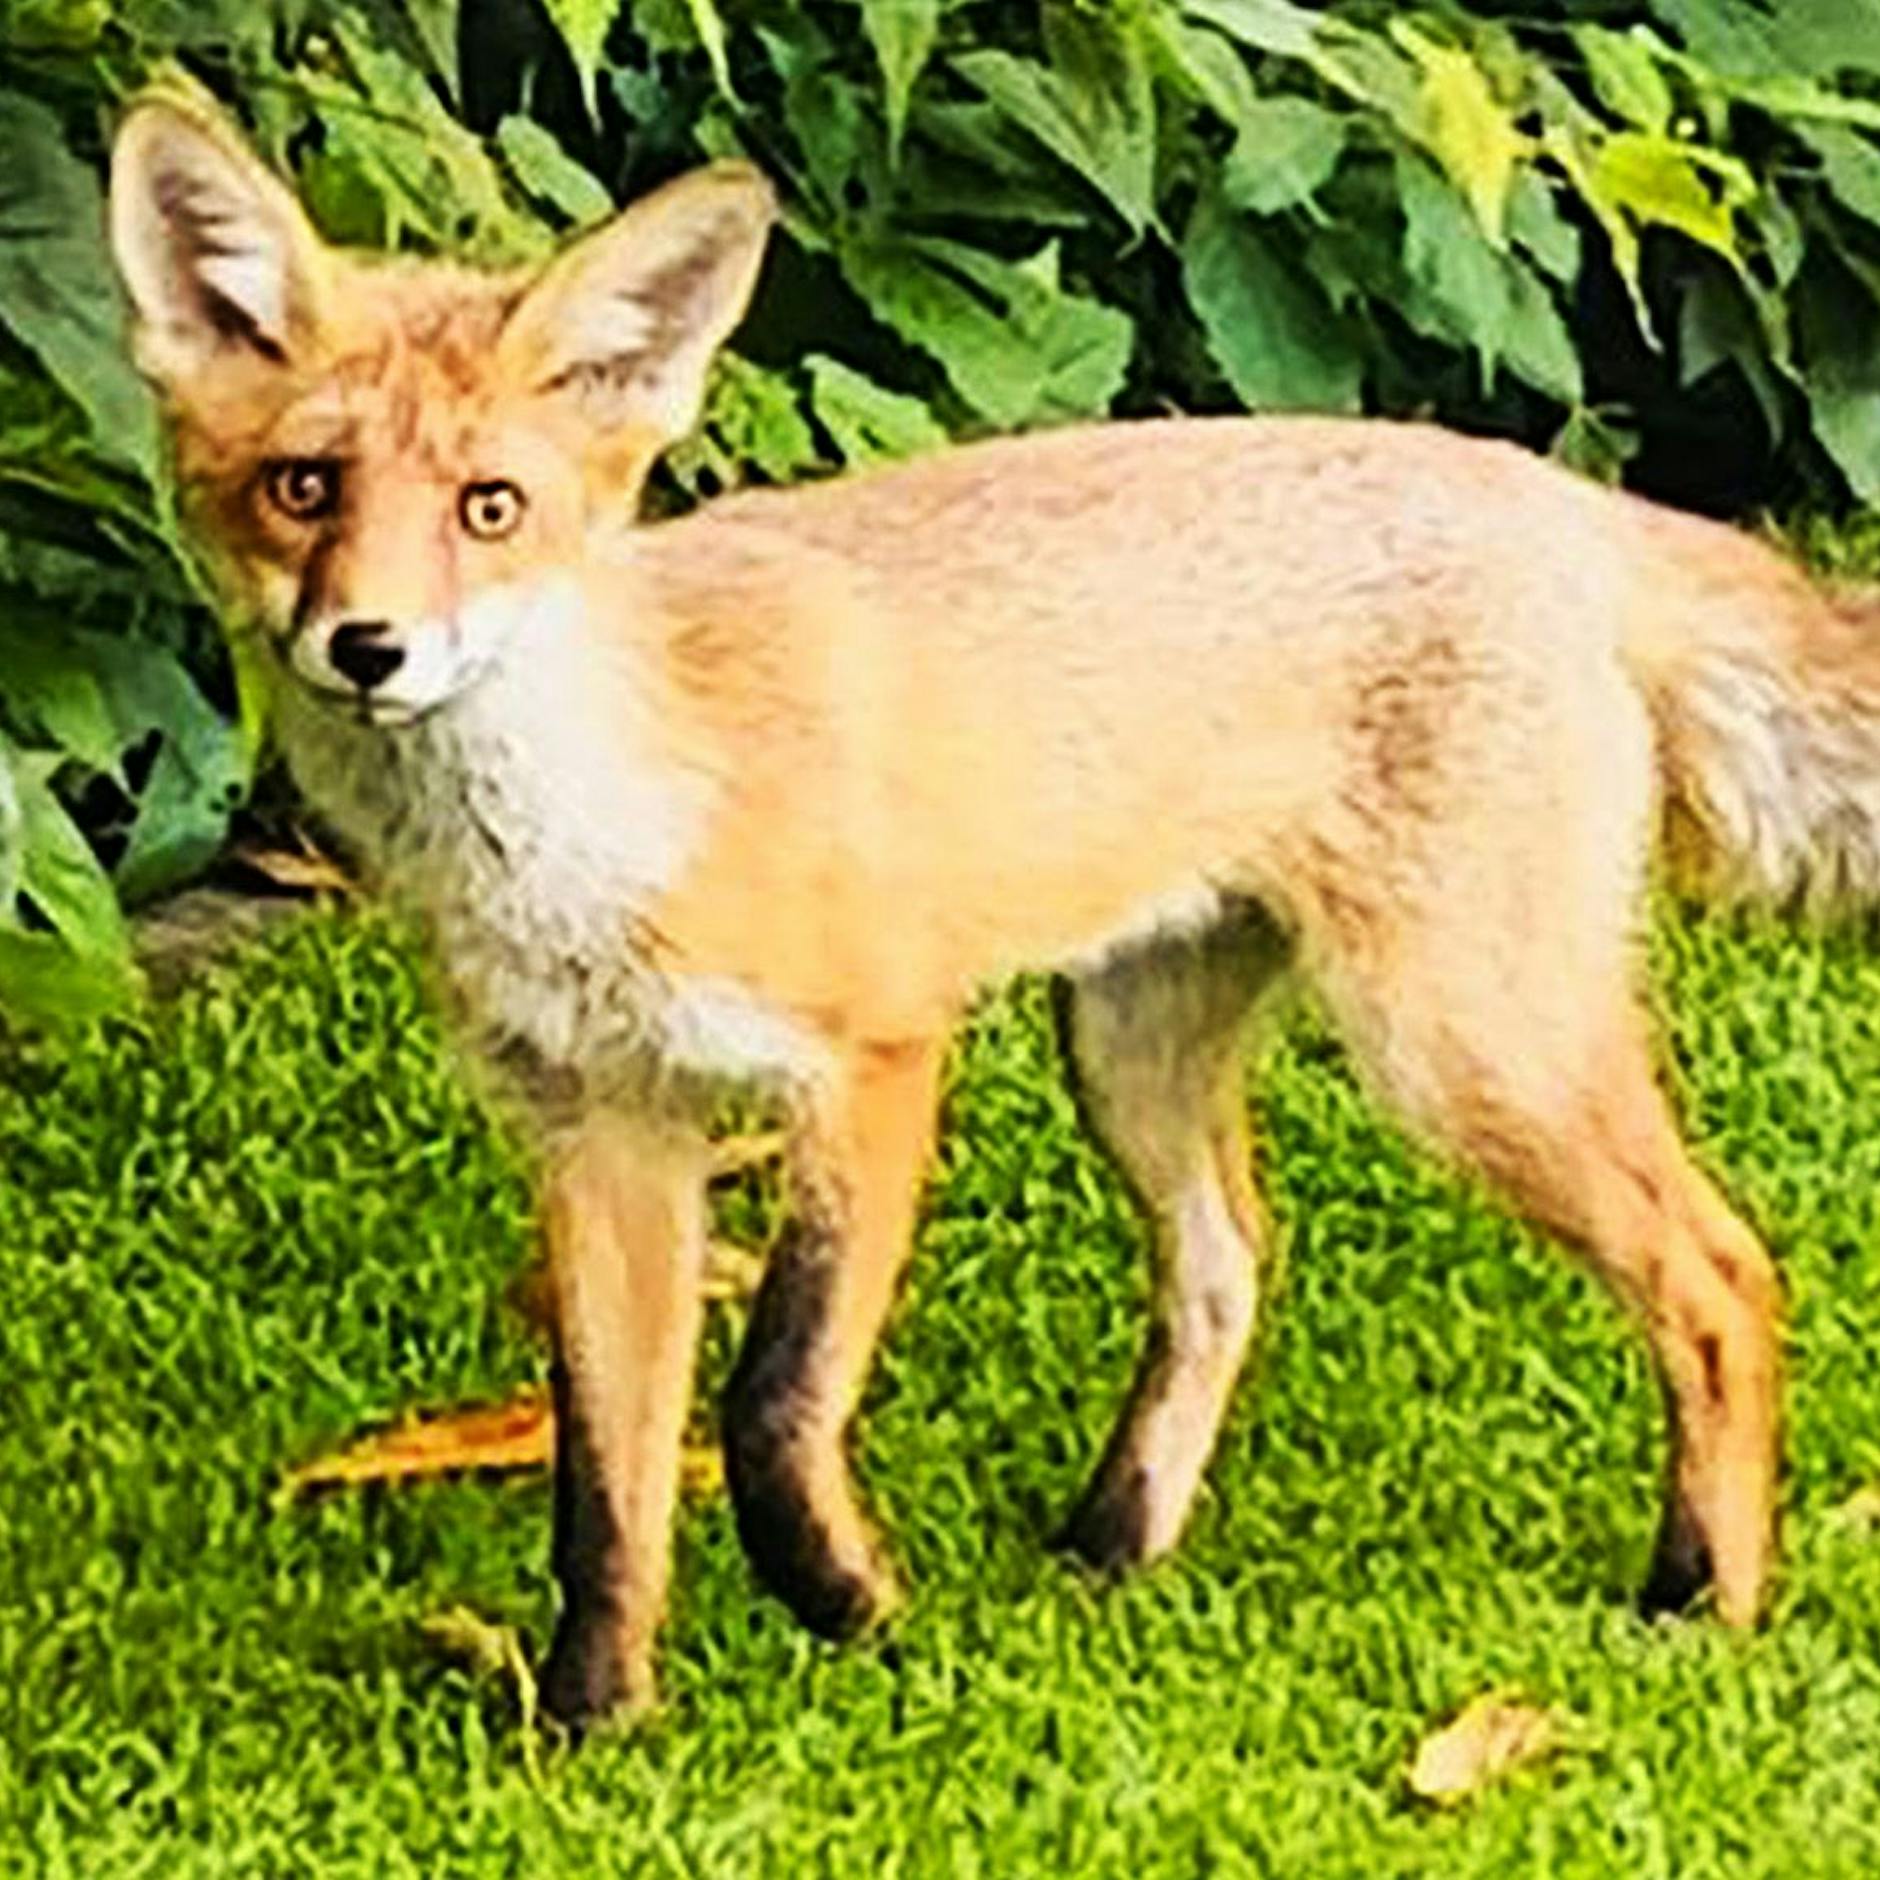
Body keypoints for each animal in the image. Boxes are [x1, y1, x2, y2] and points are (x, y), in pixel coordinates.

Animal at [106, 93, 1880, 1732]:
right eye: (303, 487)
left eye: (490, 507)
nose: (370, 647)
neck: (608, 838)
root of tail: (1552, 494)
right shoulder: (606, 1135)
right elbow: (606, 1482)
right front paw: (592, 1722)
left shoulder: (877, 1062)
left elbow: (771, 1399)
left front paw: (843, 1601)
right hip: (1131, 1049)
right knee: (1234, 1263)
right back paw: (1117, 1546)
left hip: (1461, 1046)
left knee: (1725, 1275)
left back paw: (1705, 1603)